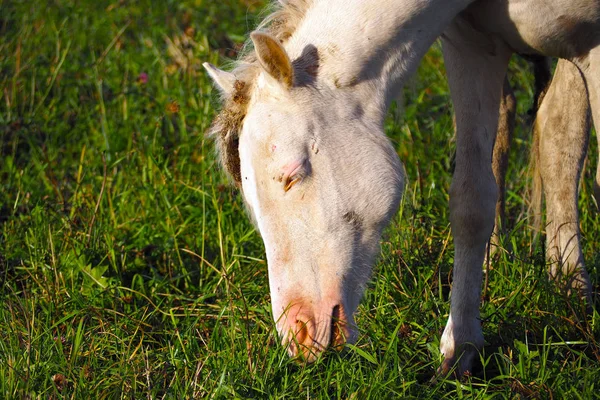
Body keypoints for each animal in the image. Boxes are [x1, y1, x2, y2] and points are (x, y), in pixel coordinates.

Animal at [204, 0, 596, 376]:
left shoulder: (590, 48)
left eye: (292, 176)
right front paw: (460, 350)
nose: (297, 334)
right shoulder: (472, 46)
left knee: (561, 130)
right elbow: (471, 202)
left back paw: (571, 283)